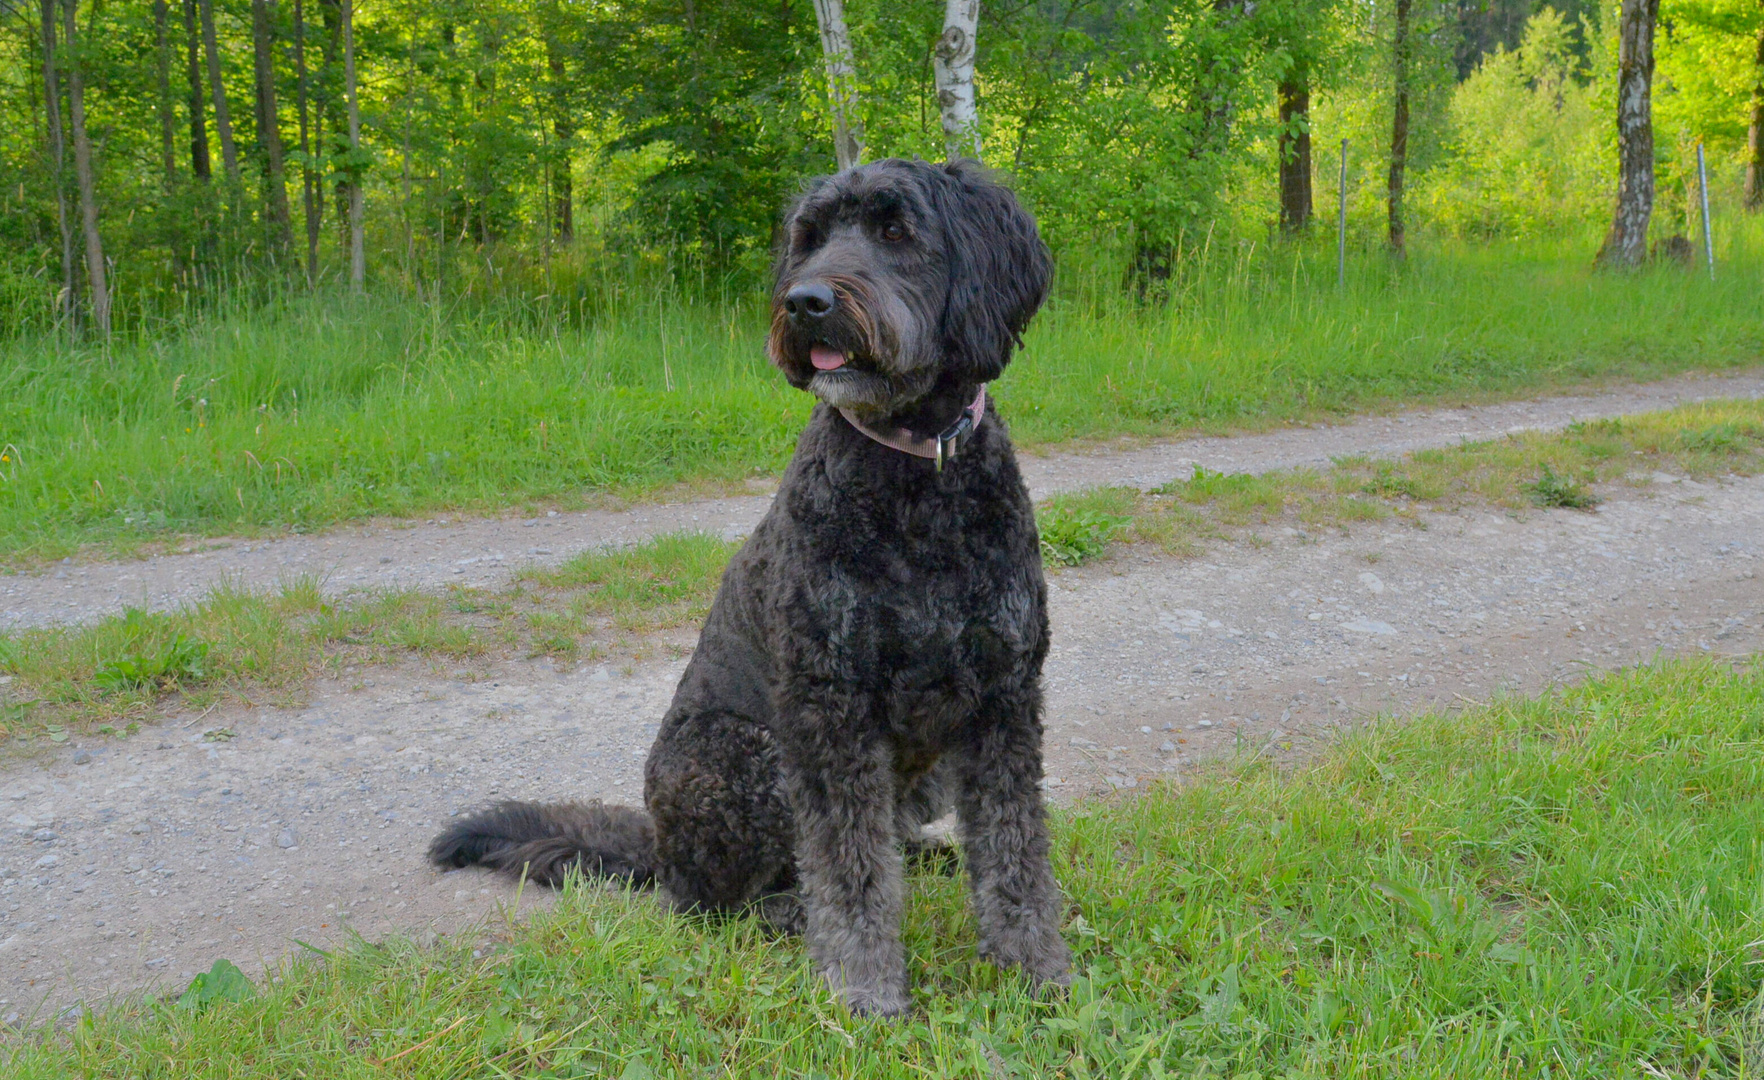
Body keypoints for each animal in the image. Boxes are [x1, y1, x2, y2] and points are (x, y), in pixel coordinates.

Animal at [433, 156, 1065, 1016]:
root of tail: (659, 845)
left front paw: (1037, 975)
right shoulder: (829, 712)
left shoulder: (1003, 699)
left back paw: (925, 858)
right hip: (745, 759)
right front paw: (865, 994)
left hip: (920, 762)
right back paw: (785, 912)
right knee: (711, 903)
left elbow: (1013, 852)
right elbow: (851, 875)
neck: (915, 476)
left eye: (895, 230)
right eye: (810, 238)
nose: (805, 302)